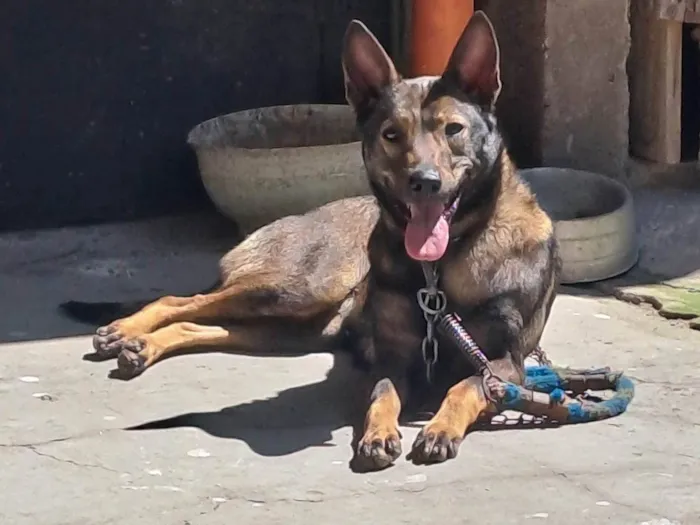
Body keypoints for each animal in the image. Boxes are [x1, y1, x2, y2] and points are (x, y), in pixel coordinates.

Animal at [61, 12, 564, 470]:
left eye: (453, 130)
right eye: (391, 134)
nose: (424, 182)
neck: (440, 267)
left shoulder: (503, 364)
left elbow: (464, 386)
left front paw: (439, 428)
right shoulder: (395, 360)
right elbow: (382, 395)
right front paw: (378, 434)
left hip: (291, 327)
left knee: (199, 323)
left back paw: (141, 346)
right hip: (296, 291)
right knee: (180, 300)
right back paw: (126, 332)